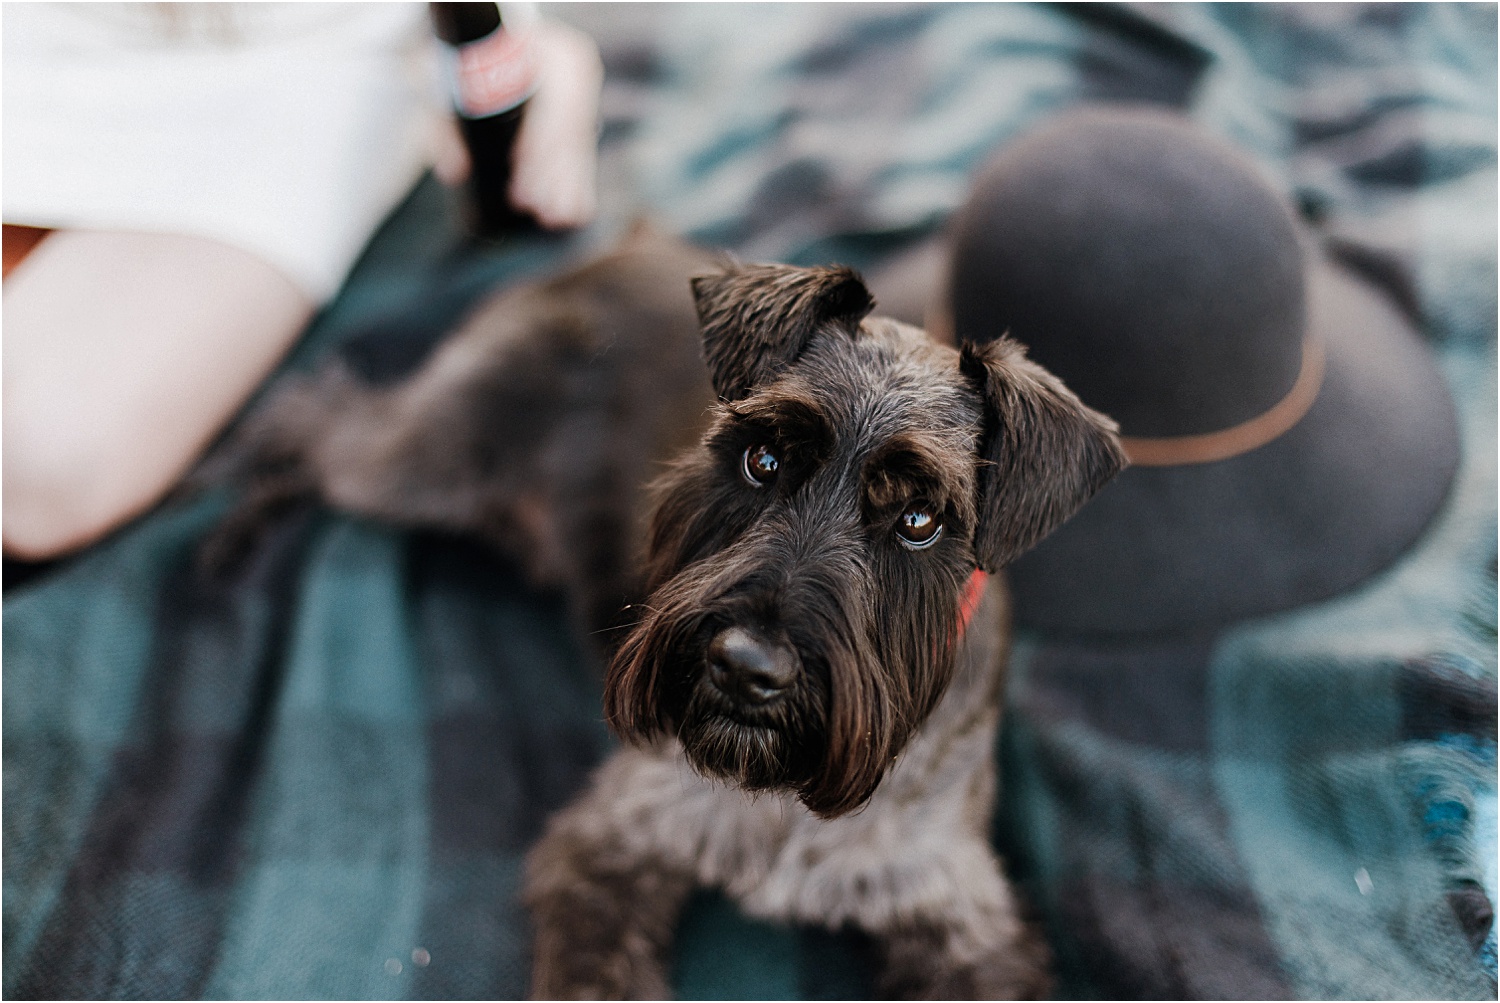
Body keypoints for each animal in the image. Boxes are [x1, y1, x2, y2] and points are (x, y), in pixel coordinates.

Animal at [214, 229, 1128, 1001]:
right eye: (764, 458)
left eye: (919, 519)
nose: (746, 668)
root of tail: (623, 241)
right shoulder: (613, 841)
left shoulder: (958, 913)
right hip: (428, 454)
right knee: (312, 420)